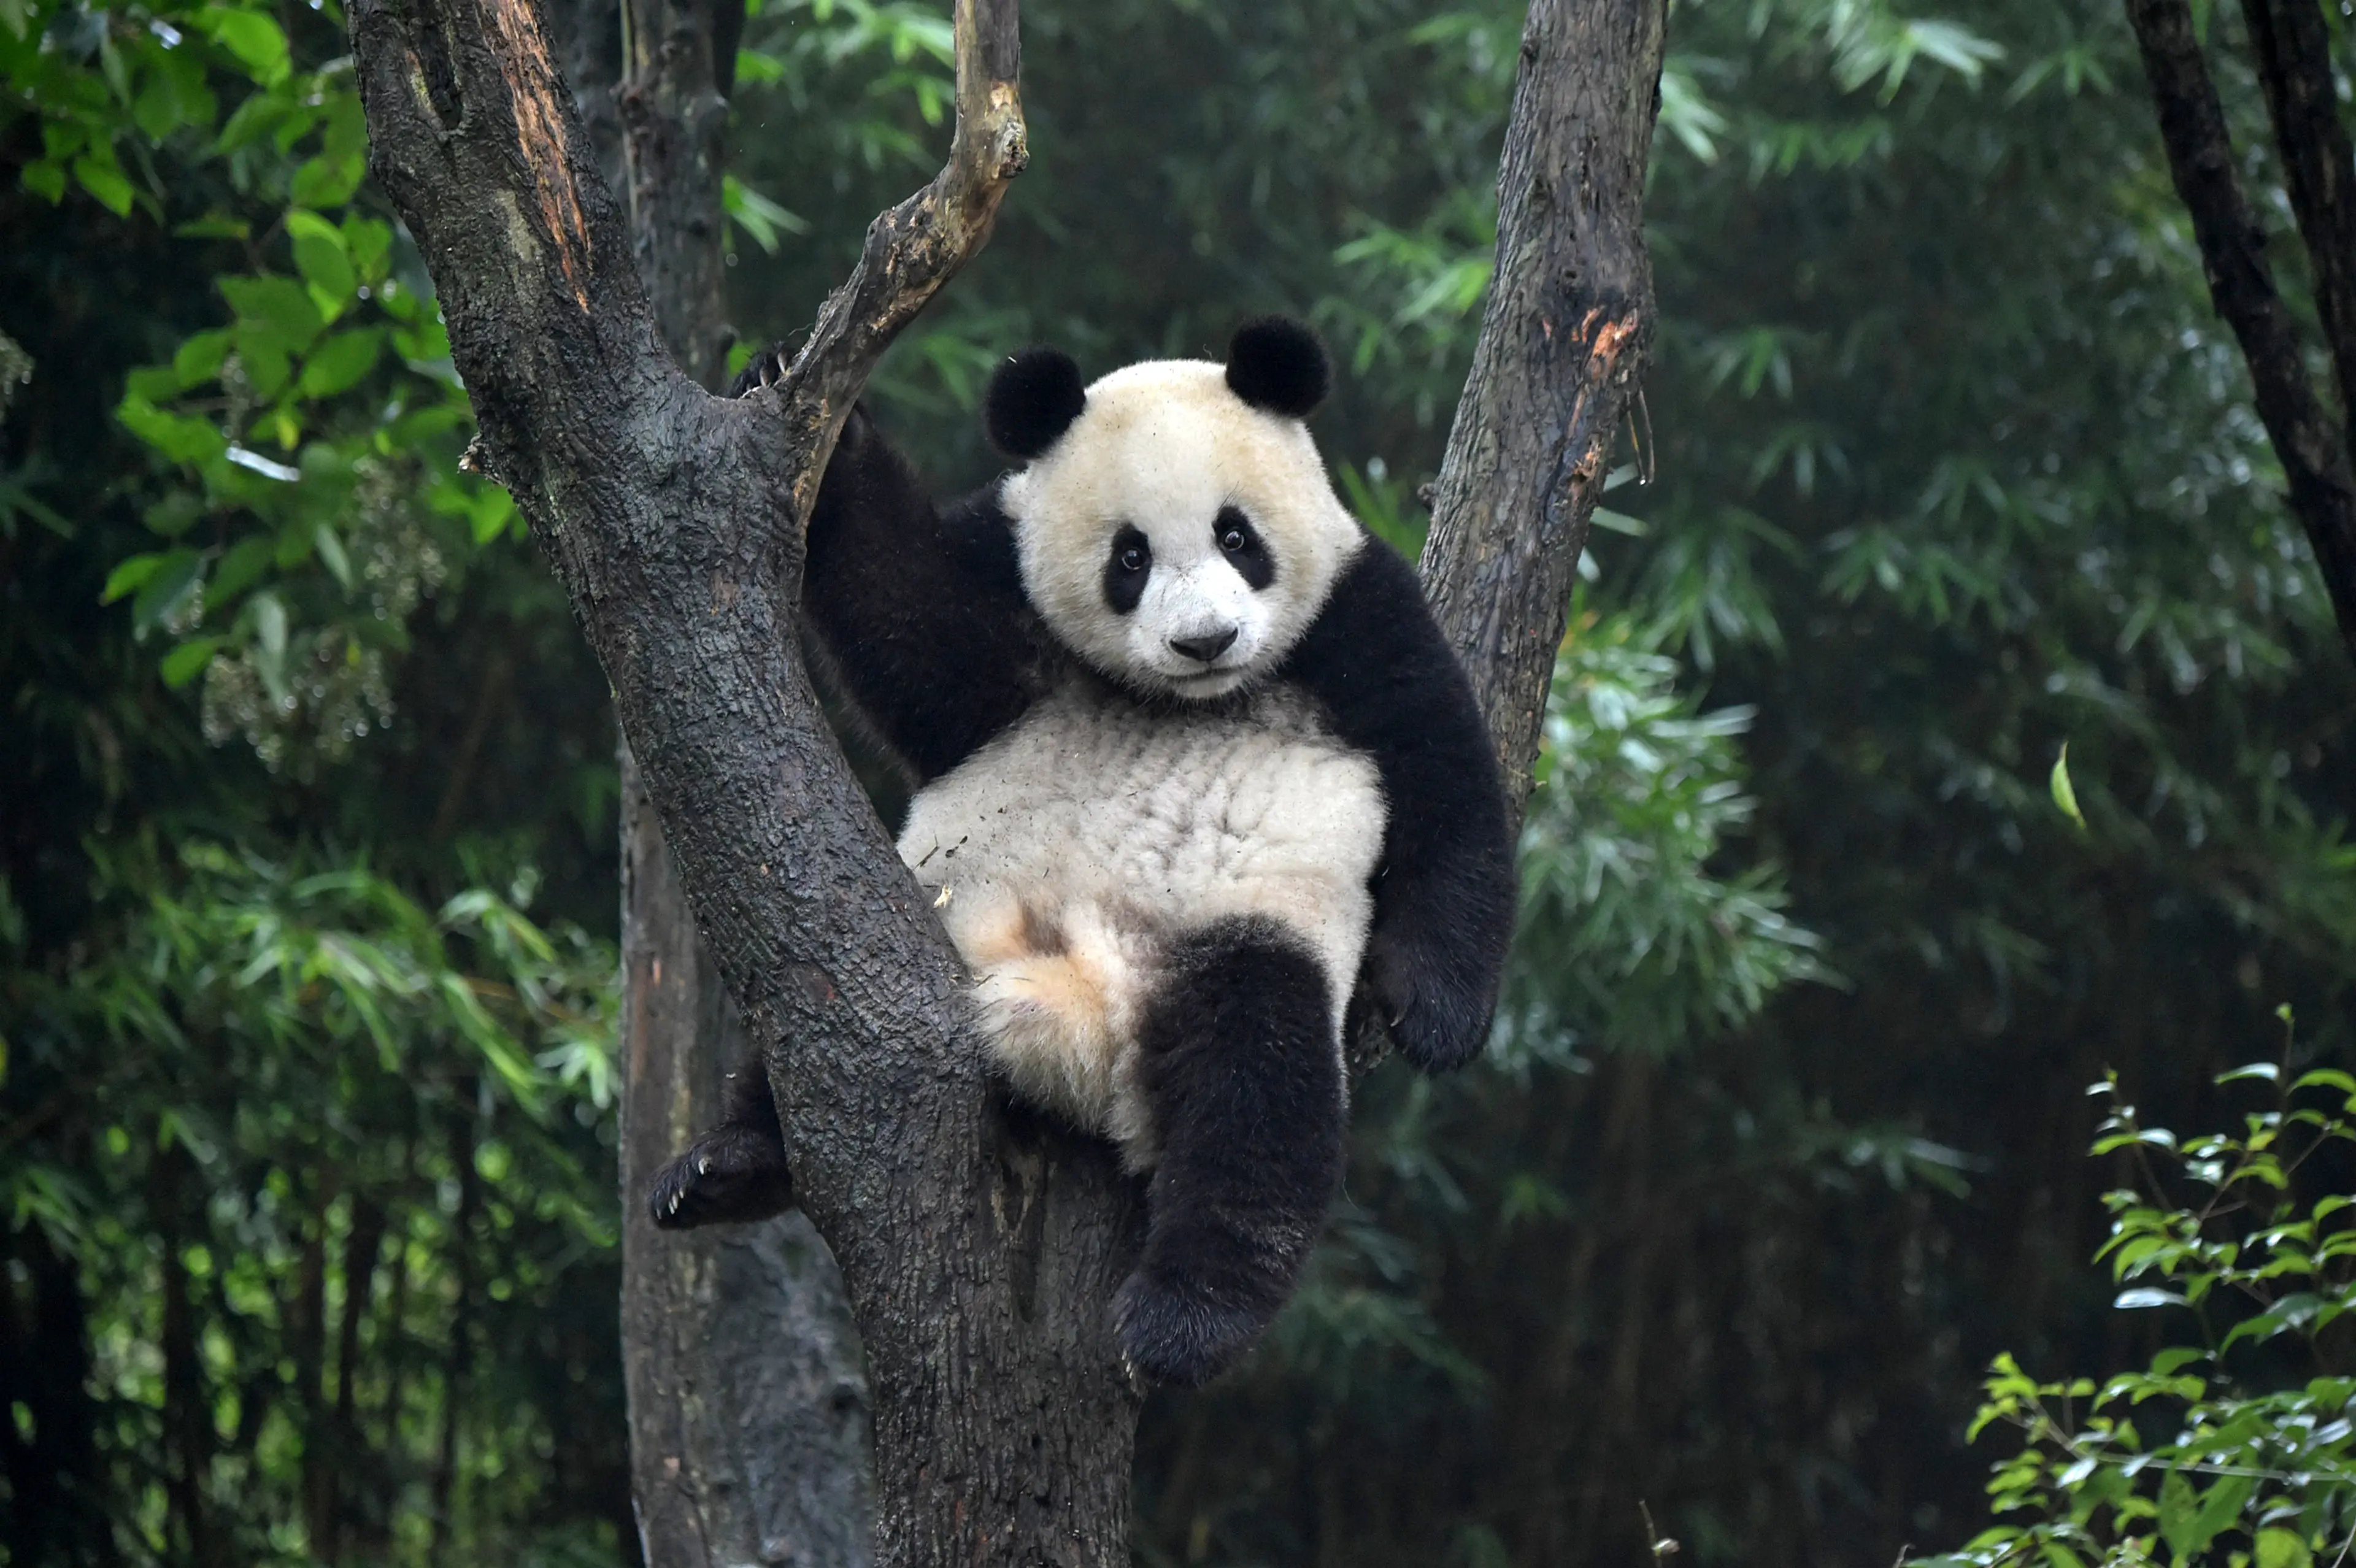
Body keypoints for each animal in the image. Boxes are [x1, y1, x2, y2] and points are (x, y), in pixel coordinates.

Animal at [651, 318, 1517, 1387]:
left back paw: (1184, 1321)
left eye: (1238, 536)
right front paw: (801, 397)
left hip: (1235, 935)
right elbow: (909, 621)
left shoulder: (1360, 620)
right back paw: (722, 1168)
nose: (1206, 641)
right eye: (1129, 558)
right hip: (934, 916)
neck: (1187, 701)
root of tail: (1078, 1014)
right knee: (798, 1044)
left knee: (1258, 1091)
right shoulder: (1008, 610)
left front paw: (1437, 1016)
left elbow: (1447, 783)